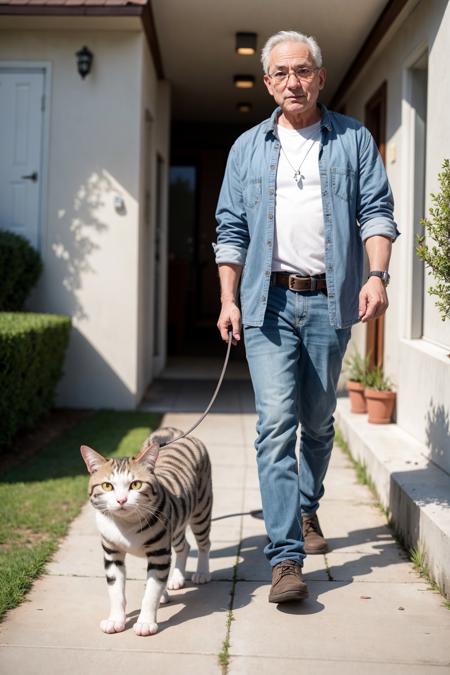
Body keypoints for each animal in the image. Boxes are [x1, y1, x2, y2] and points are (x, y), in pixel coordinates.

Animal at [81, 430, 213, 636]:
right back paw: (175, 580)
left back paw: (202, 573)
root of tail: (175, 432)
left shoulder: (159, 553)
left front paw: (145, 623)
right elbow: (116, 590)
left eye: (135, 485)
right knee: (184, 546)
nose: (121, 500)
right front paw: (115, 620)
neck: (125, 524)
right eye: (107, 486)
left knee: (203, 543)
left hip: (202, 508)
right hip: (175, 525)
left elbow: (151, 593)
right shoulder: (112, 554)